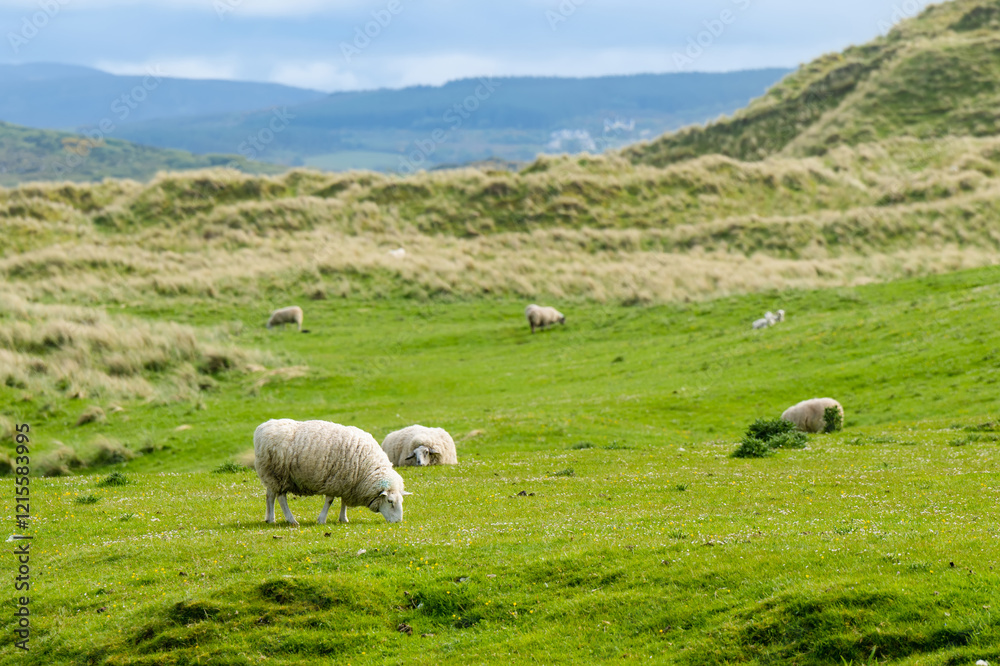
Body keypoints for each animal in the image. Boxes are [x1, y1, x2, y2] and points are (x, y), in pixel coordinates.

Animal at [253, 419, 410, 525]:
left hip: (270, 474)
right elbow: (330, 500)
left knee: (270, 496)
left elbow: (343, 502)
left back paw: (270, 519)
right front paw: (322, 519)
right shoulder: (335, 480)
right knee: (281, 498)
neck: (367, 468)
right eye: (390, 501)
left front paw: (343, 518)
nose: (398, 522)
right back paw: (291, 520)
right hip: (279, 474)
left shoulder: (348, 482)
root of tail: (262, 427)